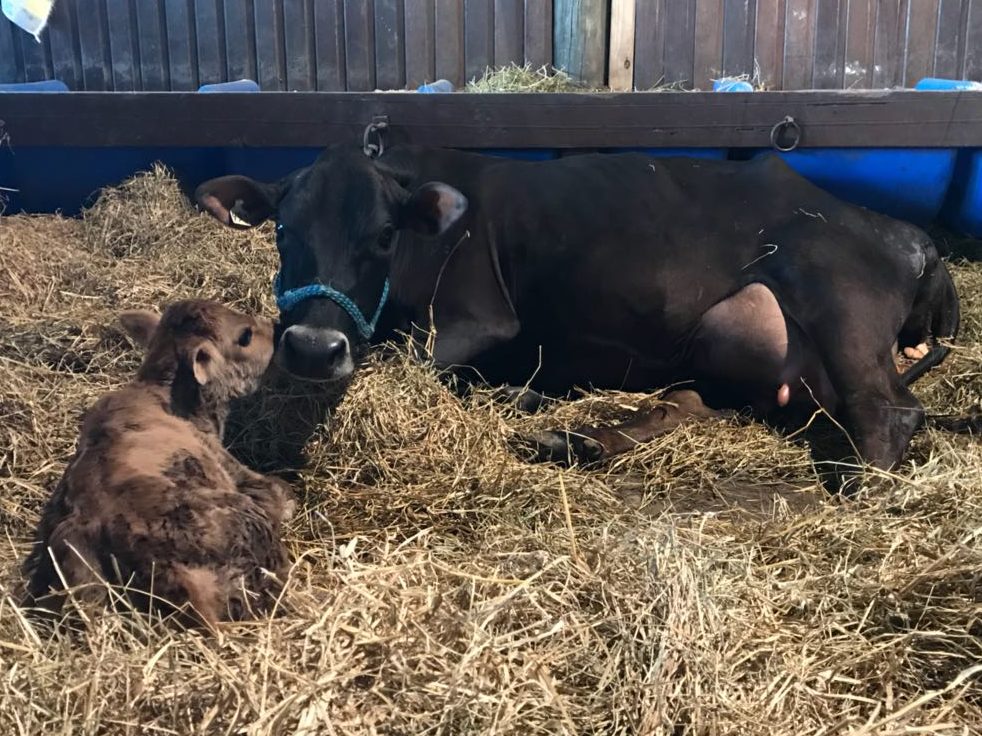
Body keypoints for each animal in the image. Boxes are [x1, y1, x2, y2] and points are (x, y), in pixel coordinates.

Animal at [21, 298, 294, 628]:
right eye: (245, 336)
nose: (277, 328)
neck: (166, 395)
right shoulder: (231, 467)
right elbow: (280, 493)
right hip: (248, 523)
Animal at [196, 144, 964, 472]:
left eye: (384, 236)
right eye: (283, 230)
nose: (314, 347)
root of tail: (909, 235)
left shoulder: (480, 315)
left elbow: (418, 360)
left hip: (838, 300)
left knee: (890, 411)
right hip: (731, 354)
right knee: (687, 403)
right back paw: (574, 440)